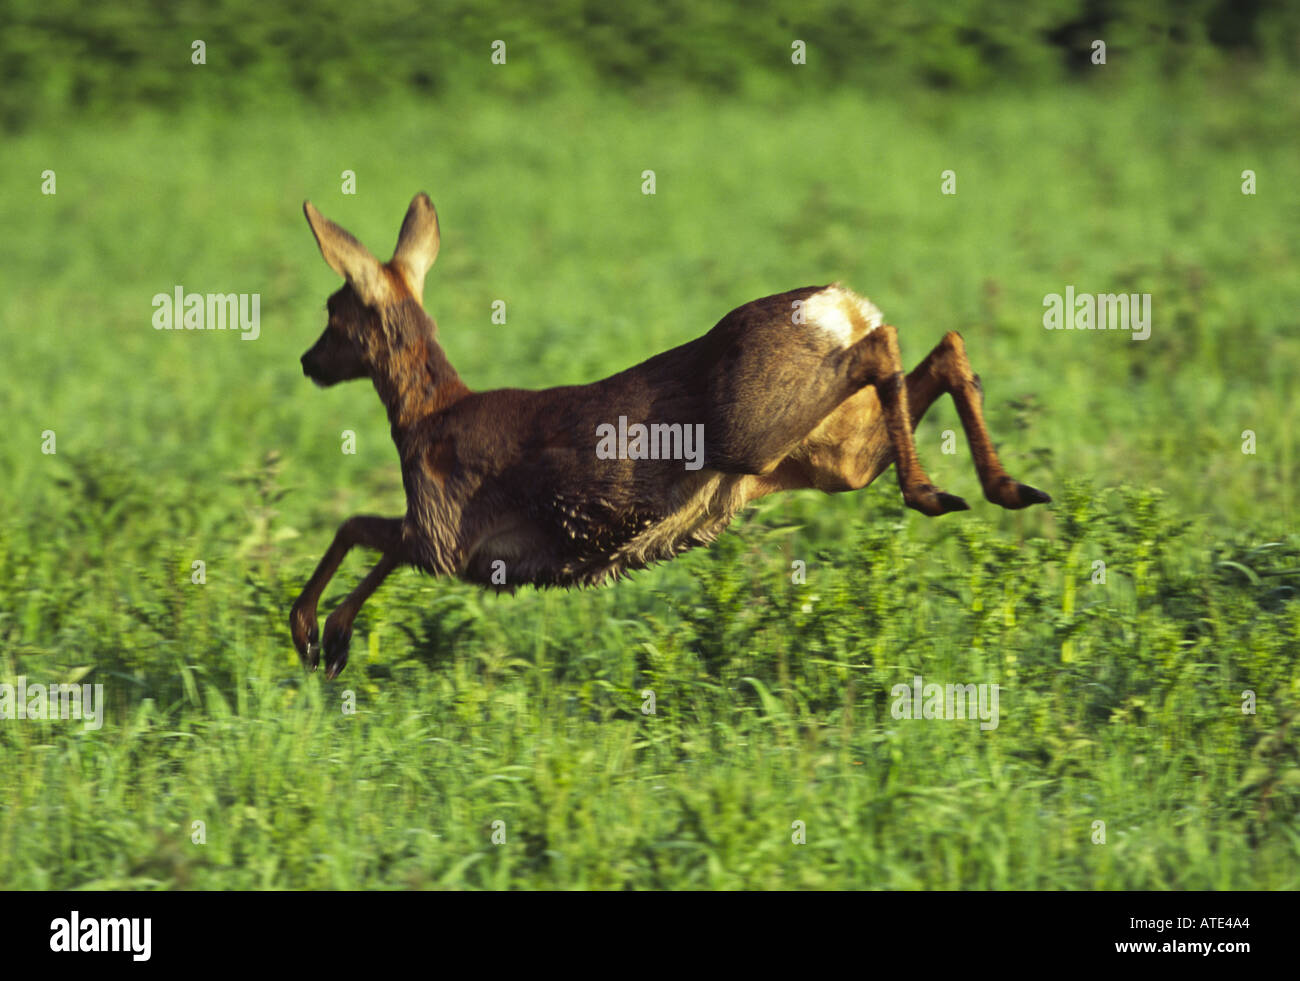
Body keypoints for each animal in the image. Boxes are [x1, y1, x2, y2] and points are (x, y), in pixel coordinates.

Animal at [290, 192, 1050, 679]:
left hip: (755, 428)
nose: (306, 362)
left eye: (332, 311)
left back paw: (932, 489)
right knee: (939, 348)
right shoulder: (447, 539)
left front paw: (315, 634)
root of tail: (839, 304)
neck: (424, 416)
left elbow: (360, 529)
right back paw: (1002, 487)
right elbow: (367, 537)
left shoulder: (443, 528)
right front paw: (325, 639)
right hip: (832, 455)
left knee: (885, 346)